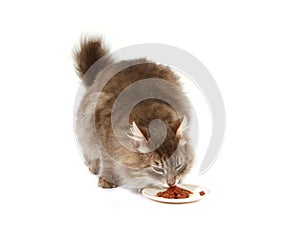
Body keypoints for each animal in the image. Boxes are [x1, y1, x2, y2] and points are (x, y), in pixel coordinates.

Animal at [73, 36, 195, 190]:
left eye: (178, 165)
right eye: (158, 169)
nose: (172, 183)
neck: (151, 115)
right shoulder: (100, 128)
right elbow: (107, 159)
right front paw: (108, 178)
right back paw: (94, 165)